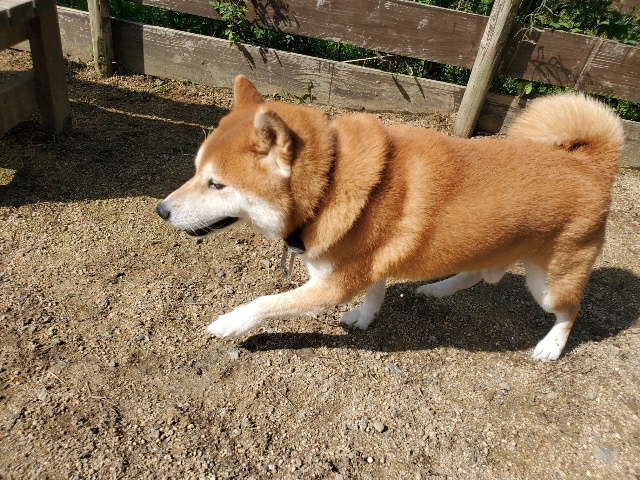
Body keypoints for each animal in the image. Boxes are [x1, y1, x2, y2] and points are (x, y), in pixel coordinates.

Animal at [156, 75, 623, 361]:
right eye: (195, 171)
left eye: (216, 184)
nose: (161, 210)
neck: (330, 184)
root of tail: (593, 164)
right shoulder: (368, 264)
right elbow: (376, 292)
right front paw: (365, 318)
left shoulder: (334, 283)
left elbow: (268, 303)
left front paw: (230, 322)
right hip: (486, 249)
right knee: (475, 273)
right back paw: (436, 288)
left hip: (549, 283)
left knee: (570, 310)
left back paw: (551, 345)